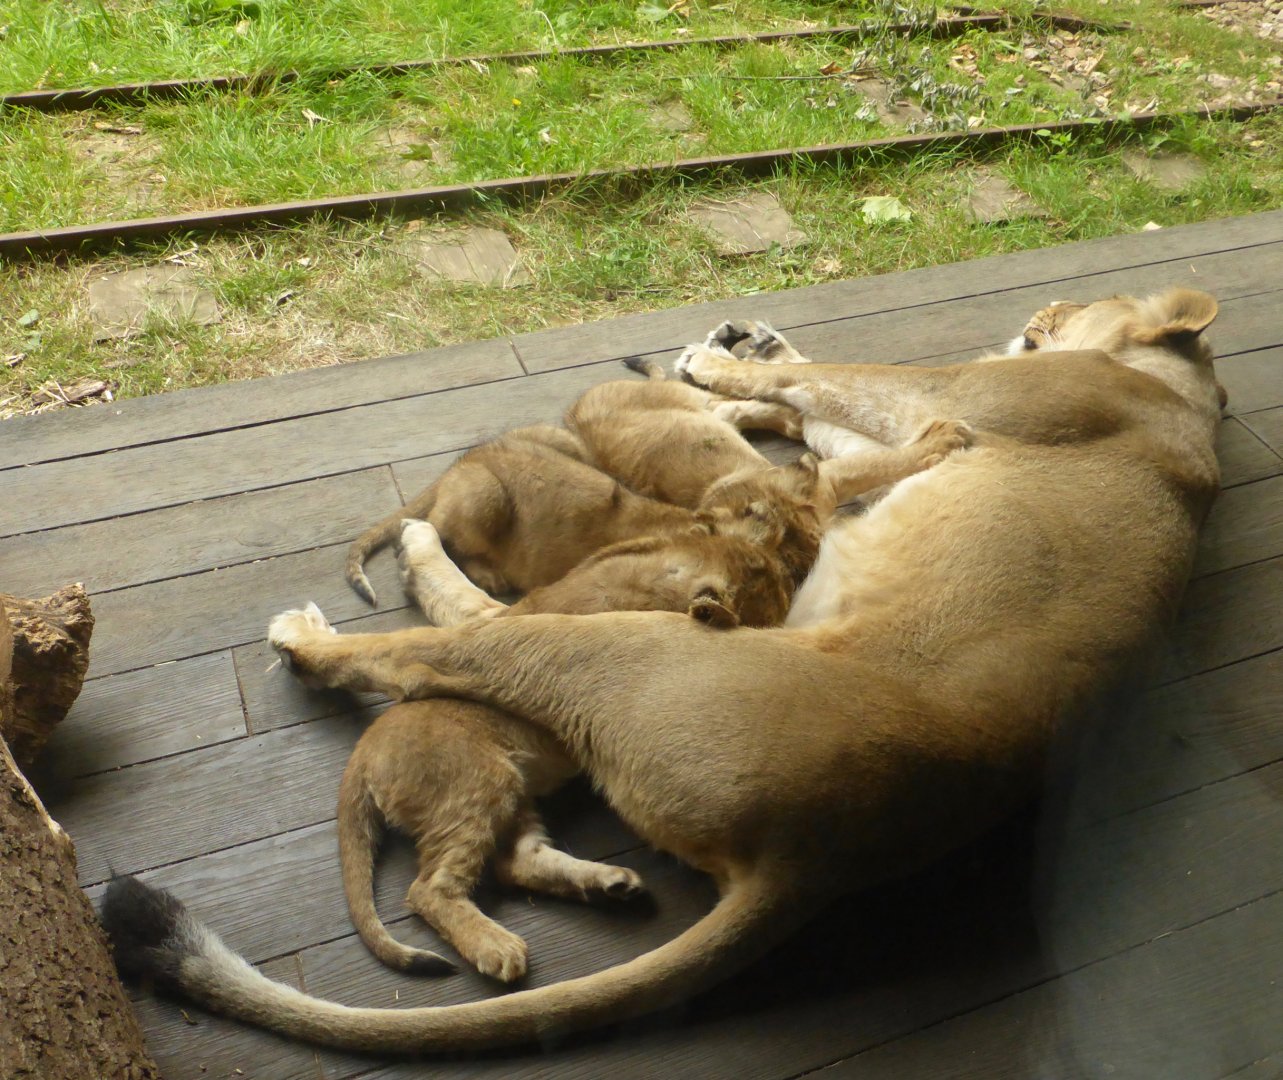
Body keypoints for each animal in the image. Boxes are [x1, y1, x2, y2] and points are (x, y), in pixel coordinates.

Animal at [102, 289, 1225, 1058]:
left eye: (1059, 313)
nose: (1032, 318)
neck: (1174, 397)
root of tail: (814, 855)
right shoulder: (886, 425)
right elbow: (823, 404)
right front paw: (746, 351)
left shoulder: (931, 398)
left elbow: (841, 397)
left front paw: (723, 367)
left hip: (599, 645)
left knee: (447, 641)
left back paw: (322, 625)